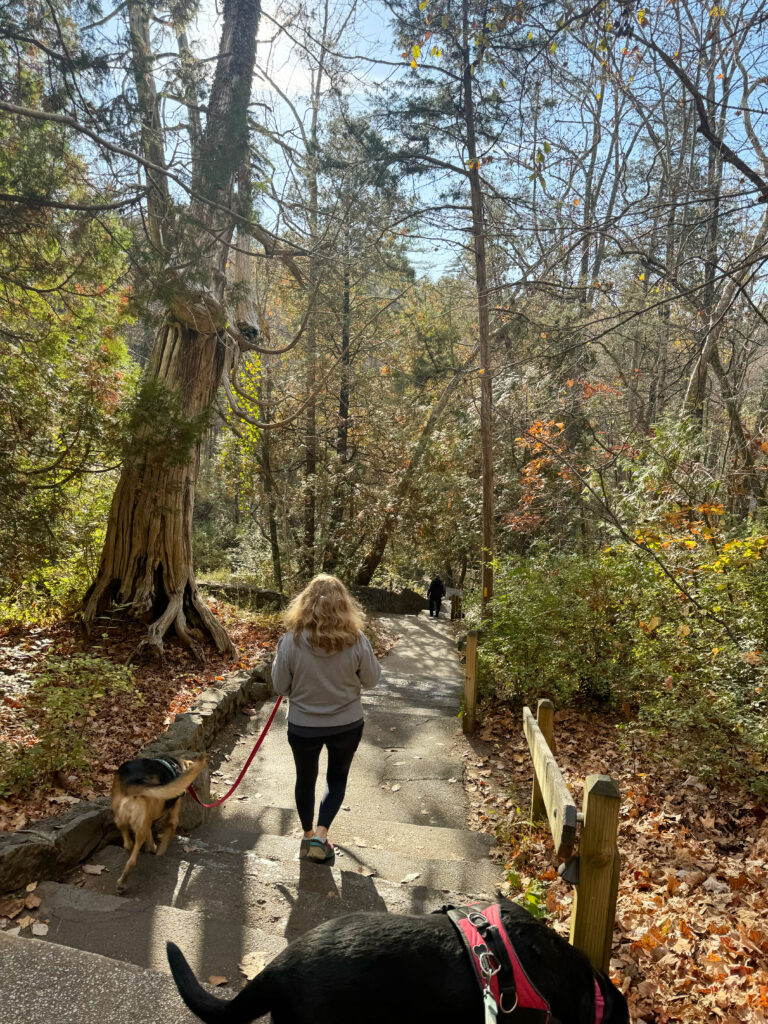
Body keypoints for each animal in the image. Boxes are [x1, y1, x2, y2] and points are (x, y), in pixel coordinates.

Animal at [109, 753, 204, 888]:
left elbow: (151, 841)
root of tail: (134, 783)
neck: (175, 764)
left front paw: (152, 848)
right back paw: (122, 883)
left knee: (128, 845)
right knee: (132, 861)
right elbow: (163, 845)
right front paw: (159, 854)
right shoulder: (172, 820)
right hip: (141, 826)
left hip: (123, 819)